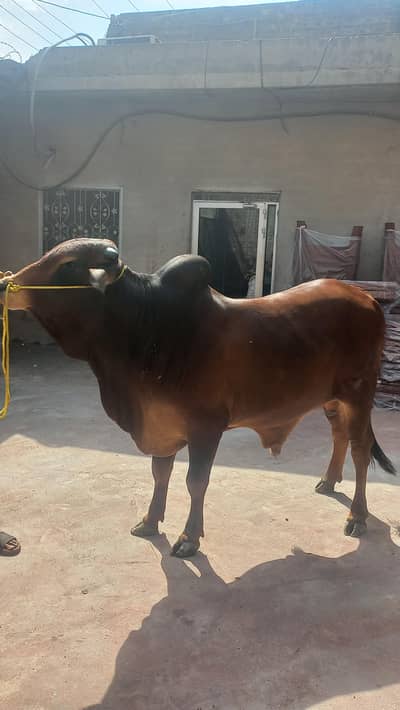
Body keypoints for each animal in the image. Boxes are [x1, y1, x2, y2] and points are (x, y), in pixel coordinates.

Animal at [0, 238, 395, 557]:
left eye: (67, 265)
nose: (6, 283)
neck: (148, 328)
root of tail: (368, 299)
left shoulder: (206, 428)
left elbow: (195, 481)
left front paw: (188, 538)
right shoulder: (162, 424)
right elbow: (160, 473)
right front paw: (149, 521)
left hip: (360, 393)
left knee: (360, 450)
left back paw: (357, 516)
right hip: (332, 398)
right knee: (339, 435)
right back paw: (328, 480)